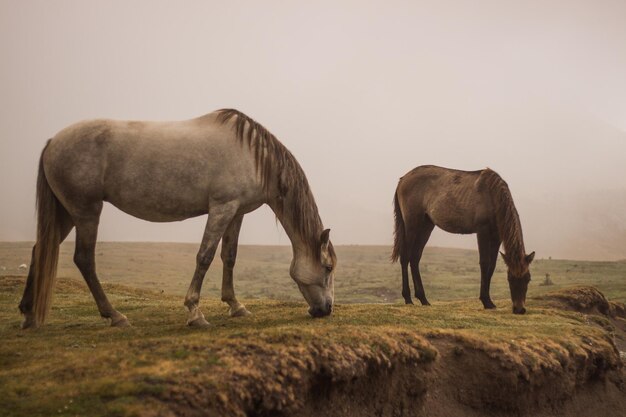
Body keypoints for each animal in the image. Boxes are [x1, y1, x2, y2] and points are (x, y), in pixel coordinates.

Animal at [18, 108, 336, 328]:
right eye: (328, 267)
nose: (326, 310)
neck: (254, 156)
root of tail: (53, 142)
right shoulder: (221, 208)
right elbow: (205, 257)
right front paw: (195, 313)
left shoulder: (236, 213)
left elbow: (229, 257)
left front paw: (235, 306)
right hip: (86, 212)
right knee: (84, 259)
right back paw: (115, 315)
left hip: (66, 213)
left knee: (40, 249)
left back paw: (28, 314)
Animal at [390, 164, 532, 314]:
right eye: (510, 278)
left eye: (528, 278)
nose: (519, 309)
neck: (493, 195)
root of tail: (403, 179)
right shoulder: (482, 231)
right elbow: (485, 263)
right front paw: (486, 301)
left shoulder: (496, 236)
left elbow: (492, 265)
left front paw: (490, 301)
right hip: (412, 225)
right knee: (405, 257)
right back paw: (408, 298)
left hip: (426, 225)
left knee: (415, 258)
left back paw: (423, 299)